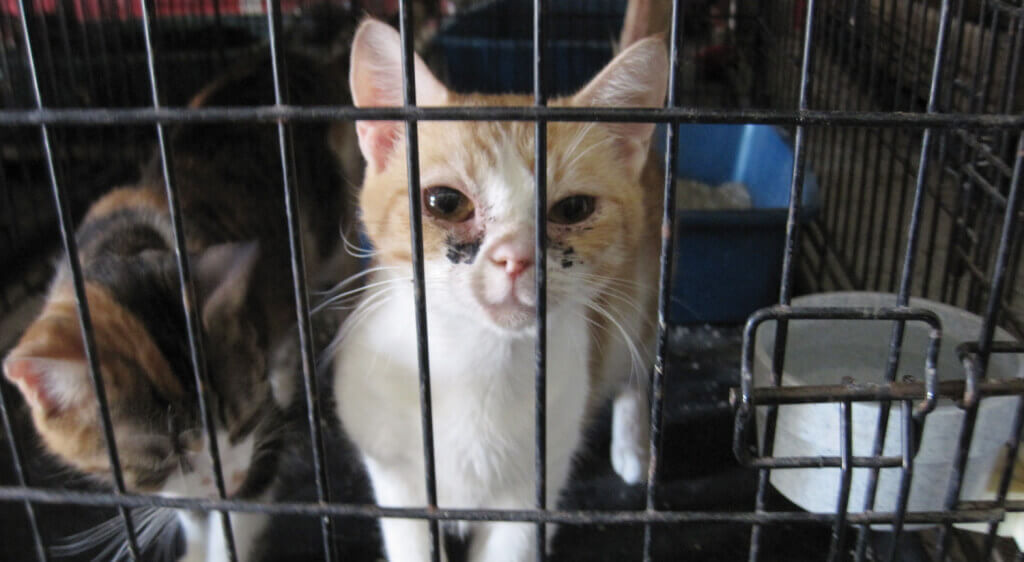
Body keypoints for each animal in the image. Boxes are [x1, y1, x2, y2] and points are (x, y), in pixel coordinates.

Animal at [335, 19, 667, 556]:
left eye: (573, 208)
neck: (475, 368)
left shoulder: (533, 491)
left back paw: (632, 448)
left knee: (636, 373)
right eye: (445, 202)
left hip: (639, 306)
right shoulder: (394, 476)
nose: (516, 256)